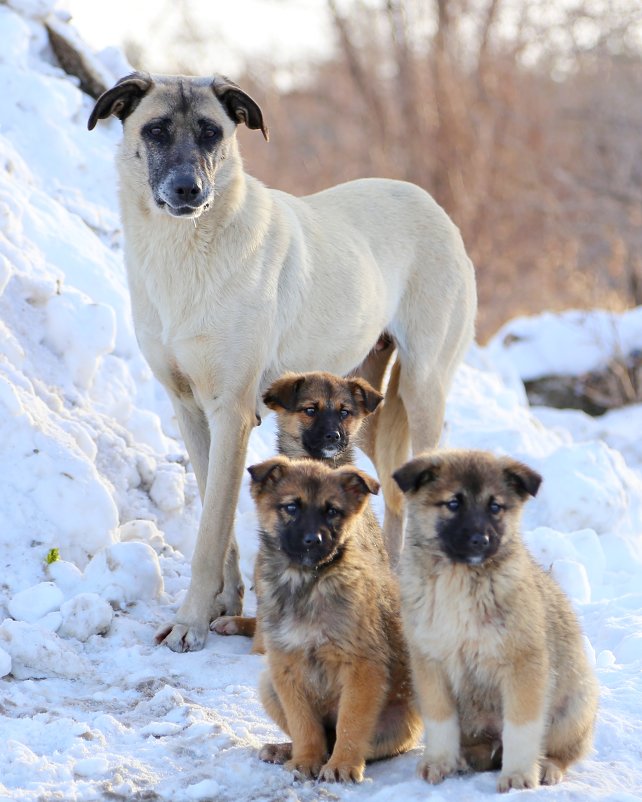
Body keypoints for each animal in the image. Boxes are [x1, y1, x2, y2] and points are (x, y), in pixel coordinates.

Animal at [245, 456, 420, 780]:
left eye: (332, 511)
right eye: (291, 507)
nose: (313, 541)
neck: (308, 584)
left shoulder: (362, 668)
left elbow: (350, 724)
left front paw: (342, 766)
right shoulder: (285, 666)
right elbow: (303, 724)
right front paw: (305, 759)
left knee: (349, 740)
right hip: (268, 685)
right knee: (321, 736)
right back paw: (285, 749)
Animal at [392, 446, 596, 792]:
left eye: (495, 507)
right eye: (454, 503)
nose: (480, 540)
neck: (460, 579)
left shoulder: (522, 666)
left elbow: (520, 729)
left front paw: (517, 776)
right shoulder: (430, 663)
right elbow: (441, 720)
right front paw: (440, 762)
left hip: (573, 708)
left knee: (562, 751)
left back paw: (548, 767)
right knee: (484, 747)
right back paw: (467, 757)